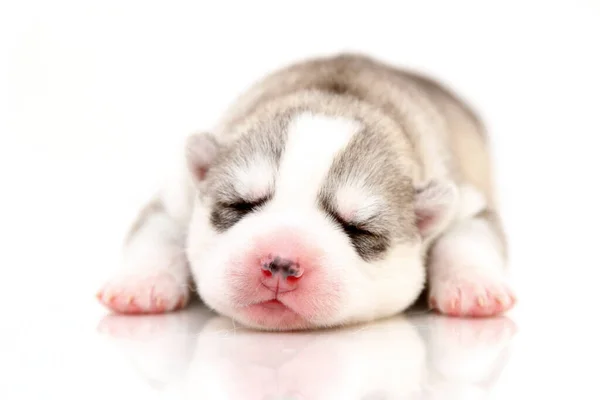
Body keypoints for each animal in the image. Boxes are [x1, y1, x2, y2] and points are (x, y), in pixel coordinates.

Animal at [97, 54, 516, 332]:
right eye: (240, 205)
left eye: (357, 229)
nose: (281, 264)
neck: (334, 98)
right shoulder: (181, 193)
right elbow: (158, 227)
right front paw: (141, 284)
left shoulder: (464, 198)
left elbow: (468, 235)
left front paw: (473, 287)